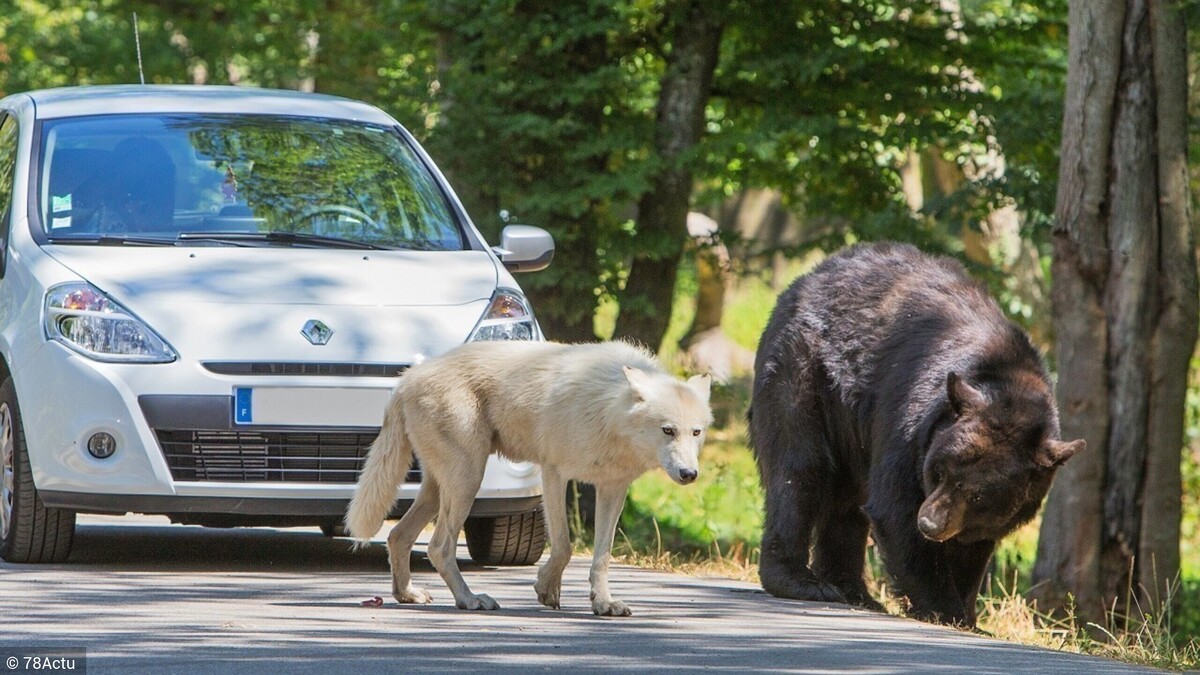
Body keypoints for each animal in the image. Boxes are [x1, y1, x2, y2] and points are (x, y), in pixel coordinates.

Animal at [346, 340, 712, 616]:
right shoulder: (554, 474)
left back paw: (407, 594)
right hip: (468, 480)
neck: (608, 408)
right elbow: (563, 546)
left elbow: (602, 556)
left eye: (696, 432)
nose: (690, 474)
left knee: (398, 537)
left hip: (441, 488)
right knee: (438, 547)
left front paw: (604, 603)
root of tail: (406, 379)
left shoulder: (613, 488)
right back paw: (469, 600)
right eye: (667, 430)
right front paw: (546, 589)